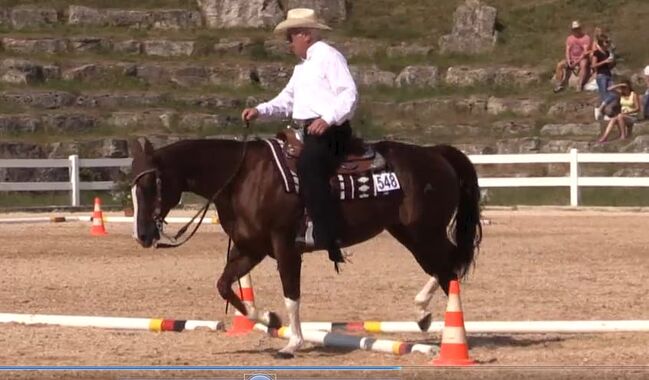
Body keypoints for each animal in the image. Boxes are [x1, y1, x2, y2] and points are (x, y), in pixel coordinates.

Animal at [130, 135, 480, 358]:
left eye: (150, 184)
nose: (143, 235)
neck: (243, 178)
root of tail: (435, 153)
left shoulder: (285, 246)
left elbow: (291, 294)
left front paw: (292, 343)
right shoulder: (250, 249)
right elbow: (225, 285)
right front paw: (269, 318)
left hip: (425, 232)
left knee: (451, 267)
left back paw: (442, 325)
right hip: (409, 233)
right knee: (448, 267)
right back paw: (424, 315)